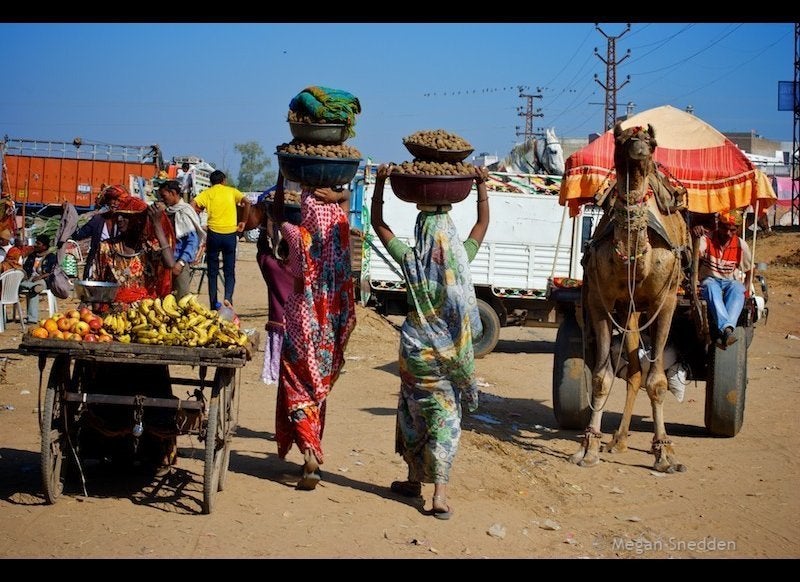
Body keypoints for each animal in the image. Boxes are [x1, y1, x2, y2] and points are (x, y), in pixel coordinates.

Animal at [568, 122, 692, 474]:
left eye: (652, 141)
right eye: (621, 140)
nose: (638, 148)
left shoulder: (666, 302)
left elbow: (658, 382)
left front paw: (665, 454)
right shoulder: (601, 300)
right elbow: (601, 377)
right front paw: (588, 448)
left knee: (640, 372)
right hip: (628, 311)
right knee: (634, 371)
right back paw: (617, 440)